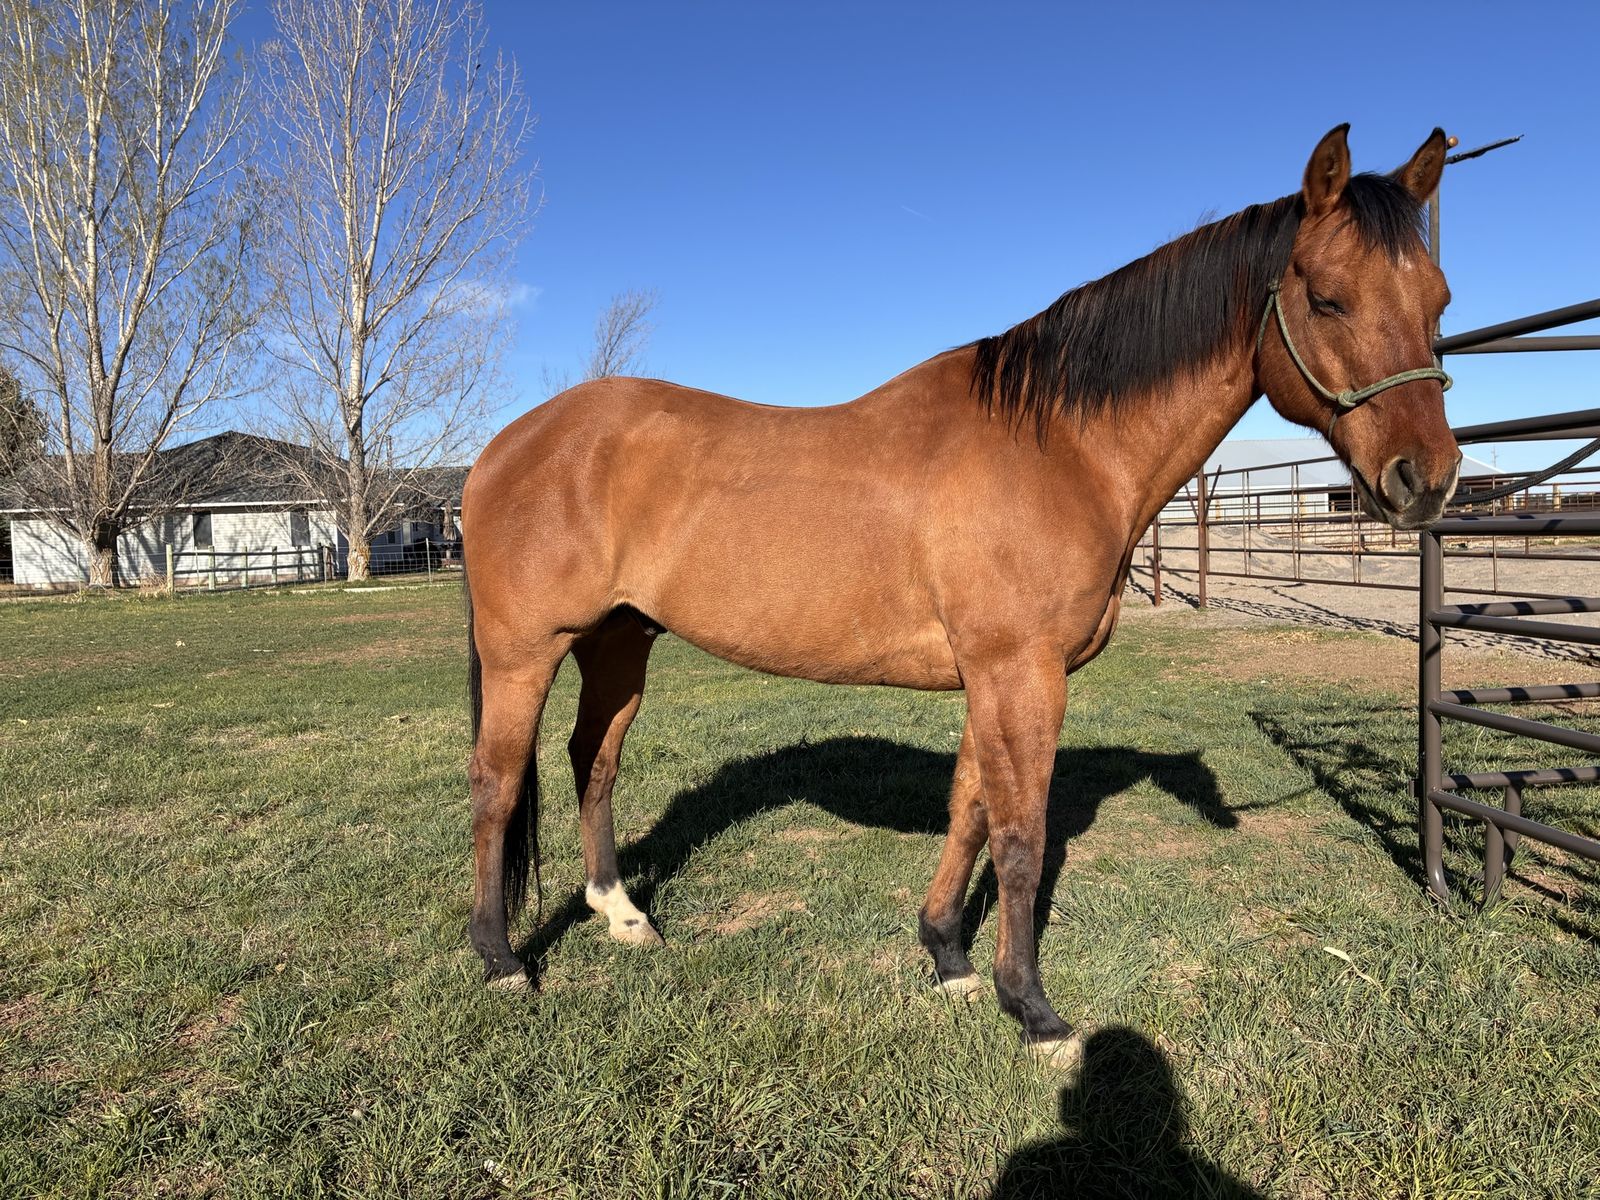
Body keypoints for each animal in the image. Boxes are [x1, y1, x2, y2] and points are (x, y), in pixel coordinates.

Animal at [460, 126, 1460, 1062]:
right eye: (1326, 296)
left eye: (1439, 301)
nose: (1429, 479)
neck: (1057, 446)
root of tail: (505, 446)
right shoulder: (1022, 675)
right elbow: (1020, 839)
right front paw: (1036, 1012)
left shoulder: (993, 676)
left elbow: (971, 811)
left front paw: (948, 956)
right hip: (525, 651)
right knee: (497, 783)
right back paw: (501, 960)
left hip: (620, 641)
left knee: (594, 759)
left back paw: (619, 913)